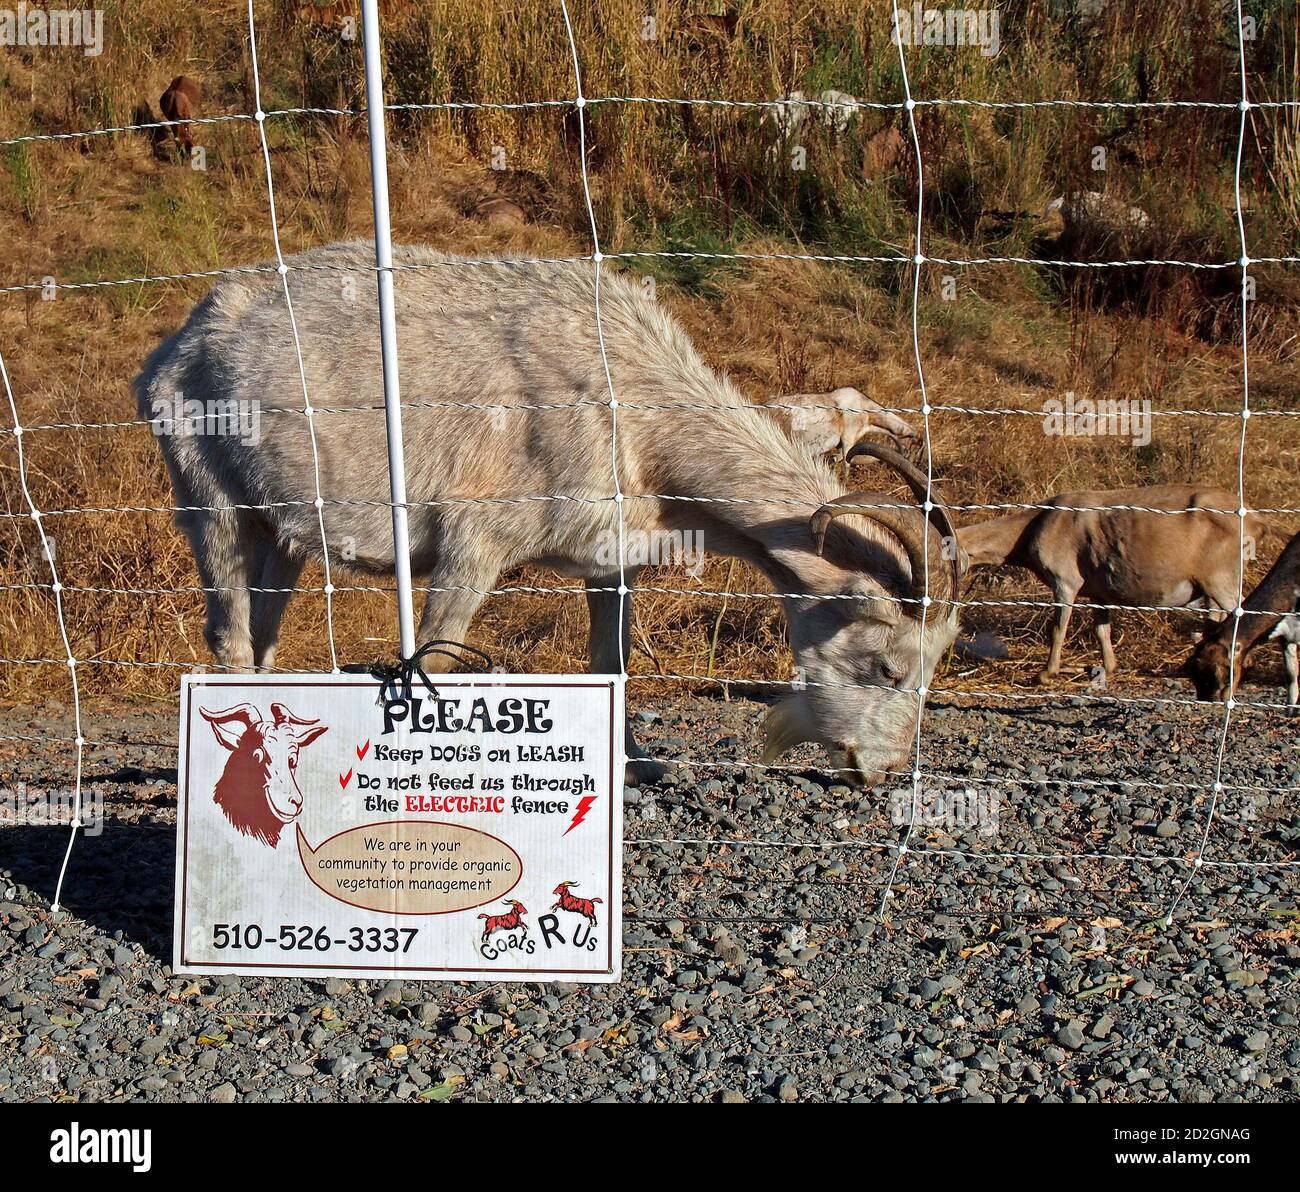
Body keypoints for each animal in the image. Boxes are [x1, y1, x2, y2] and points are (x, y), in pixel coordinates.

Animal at [958, 486, 1265, 683]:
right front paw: (1109, 666)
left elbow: (1058, 628)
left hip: (1222, 576)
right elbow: (1101, 630)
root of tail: (1257, 522)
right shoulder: (1099, 592)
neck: (1030, 528)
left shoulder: (1065, 581)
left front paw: (1046, 674)